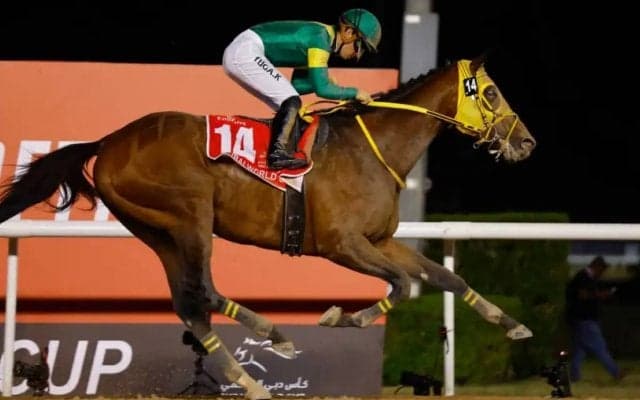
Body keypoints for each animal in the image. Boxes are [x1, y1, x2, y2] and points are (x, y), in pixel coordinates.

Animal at [0, 57, 536, 399]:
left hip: (156, 229)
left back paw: (256, 375)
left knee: (190, 302)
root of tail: (110, 140)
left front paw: (511, 323)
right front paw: (339, 317)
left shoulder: (380, 240)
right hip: (191, 214)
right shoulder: (342, 243)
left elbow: (445, 276)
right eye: (491, 92)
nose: (527, 142)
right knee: (201, 290)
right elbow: (402, 285)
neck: (372, 149)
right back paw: (271, 339)